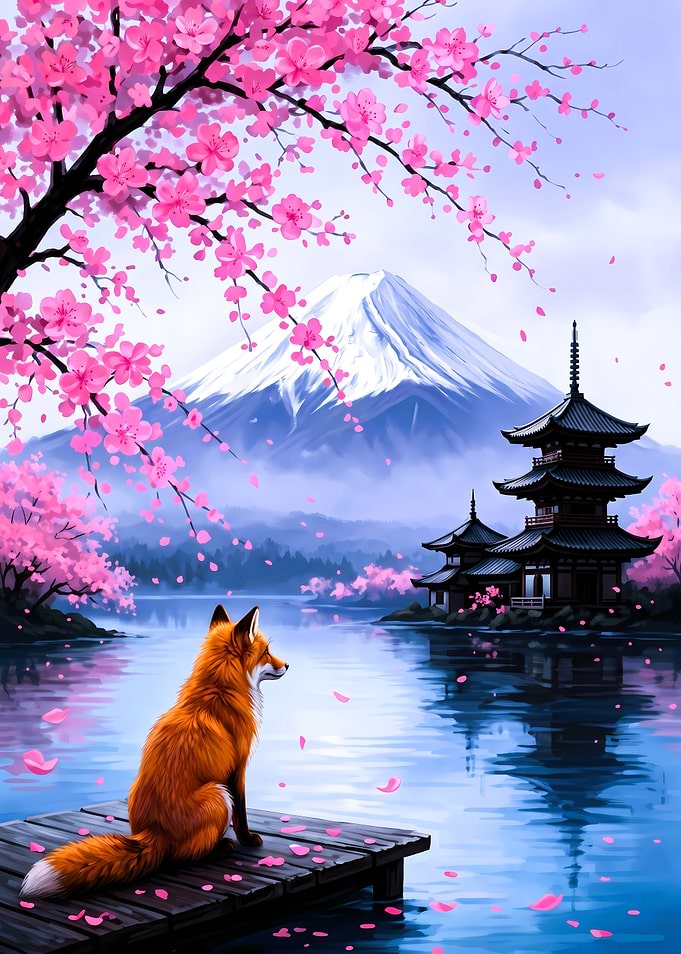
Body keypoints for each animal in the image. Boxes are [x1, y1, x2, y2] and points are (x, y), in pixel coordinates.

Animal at [20, 604, 288, 898]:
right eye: (266, 652)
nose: (287, 665)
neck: (218, 690)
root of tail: (155, 832)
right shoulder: (237, 768)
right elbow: (241, 813)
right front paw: (248, 840)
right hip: (218, 794)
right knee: (183, 856)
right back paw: (220, 848)